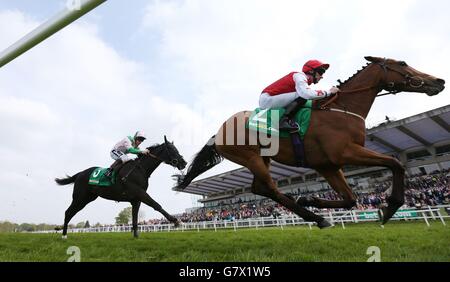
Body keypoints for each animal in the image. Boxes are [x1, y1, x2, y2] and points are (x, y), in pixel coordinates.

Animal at [55, 137, 186, 238]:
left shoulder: (136, 199)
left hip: (87, 198)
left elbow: (134, 218)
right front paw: (175, 220)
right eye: (172, 149)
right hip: (79, 198)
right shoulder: (140, 192)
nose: (183, 163)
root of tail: (80, 174)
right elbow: (156, 205)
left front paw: (136, 236)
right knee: (68, 212)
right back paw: (64, 235)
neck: (140, 169)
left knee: (70, 212)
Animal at [174, 56, 444, 228]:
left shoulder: (329, 165)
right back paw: (316, 217)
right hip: (250, 157)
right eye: (402, 63)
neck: (342, 109)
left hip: (262, 158)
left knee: (259, 189)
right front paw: (390, 207)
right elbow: (394, 162)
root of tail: (218, 131)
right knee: (270, 188)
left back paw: (310, 212)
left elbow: (350, 198)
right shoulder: (346, 153)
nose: (439, 81)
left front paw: (310, 199)